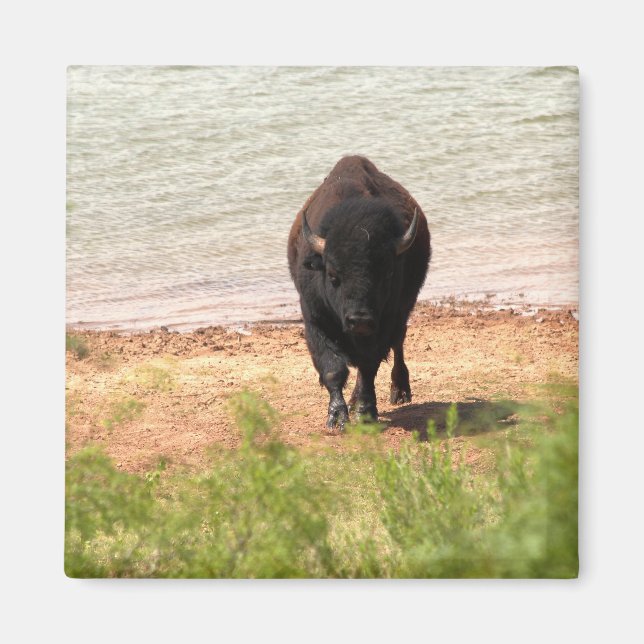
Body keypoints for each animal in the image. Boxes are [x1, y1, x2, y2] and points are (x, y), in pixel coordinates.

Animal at [287, 156, 431, 430]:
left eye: (387, 273)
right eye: (333, 276)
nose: (360, 320)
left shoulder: (384, 324)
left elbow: (368, 367)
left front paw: (365, 412)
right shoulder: (315, 320)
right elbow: (333, 369)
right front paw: (336, 418)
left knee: (398, 345)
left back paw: (399, 391)